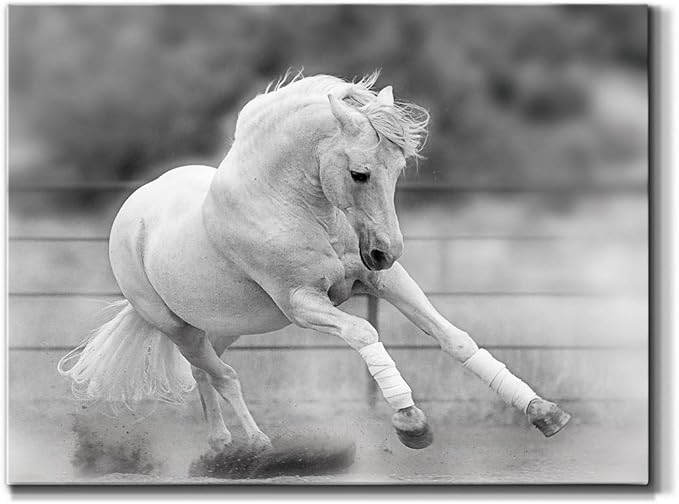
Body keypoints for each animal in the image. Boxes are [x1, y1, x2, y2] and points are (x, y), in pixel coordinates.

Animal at [58, 72, 570, 452]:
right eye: (359, 173)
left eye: (399, 169)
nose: (386, 251)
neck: (291, 206)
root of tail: (135, 211)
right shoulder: (302, 304)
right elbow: (364, 333)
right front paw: (411, 422)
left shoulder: (383, 282)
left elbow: (454, 338)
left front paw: (543, 411)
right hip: (176, 327)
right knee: (223, 375)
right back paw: (255, 444)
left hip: (222, 326)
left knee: (206, 373)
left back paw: (222, 443)